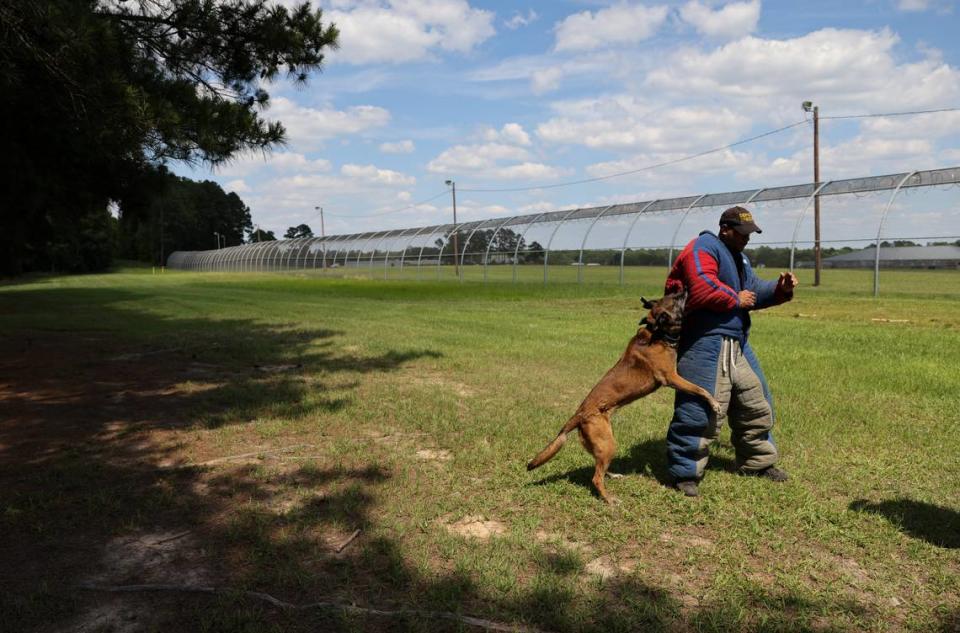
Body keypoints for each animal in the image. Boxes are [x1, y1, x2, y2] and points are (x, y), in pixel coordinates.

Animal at [524, 288, 720, 504]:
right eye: (676, 299)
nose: (684, 288)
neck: (657, 334)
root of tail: (579, 415)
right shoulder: (671, 378)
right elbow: (700, 389)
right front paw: (714, 404)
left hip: (603, 445)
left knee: (599, 467)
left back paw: (613, 476)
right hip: (608, 444)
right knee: (596, 477)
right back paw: (609, 499)